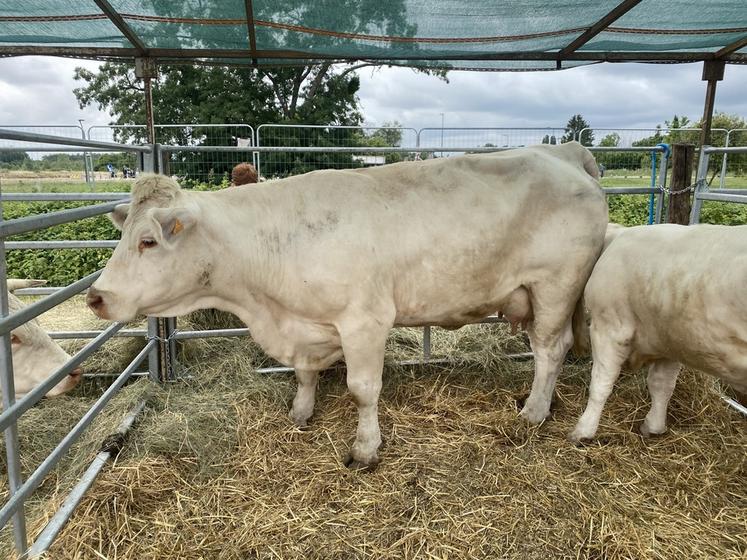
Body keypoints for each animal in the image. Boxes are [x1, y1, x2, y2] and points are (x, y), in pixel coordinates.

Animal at [87, 142, 608, 468]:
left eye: (149, 241)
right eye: (124, 235)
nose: (95, 296)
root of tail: (562, 152)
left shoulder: (365, 321)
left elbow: (363, 389)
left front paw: (365, 448)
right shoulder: (306, 327)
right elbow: (303, 373)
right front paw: (301, 412)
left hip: (555, 286)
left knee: (550, 348)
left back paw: (535, 411)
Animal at [570, 223, 747, 442]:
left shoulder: (610, 329)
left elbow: (601, 383)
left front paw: (583, 430)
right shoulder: (669, 341)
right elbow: (662, 385)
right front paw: (653, 426)